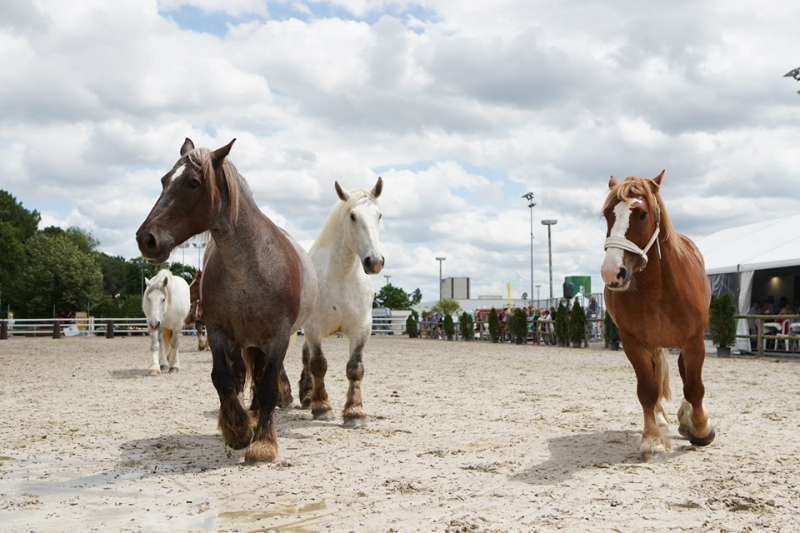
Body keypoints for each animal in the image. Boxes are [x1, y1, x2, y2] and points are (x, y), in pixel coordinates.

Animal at [134, 138, 316, 462]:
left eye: (193, 183)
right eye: (164, 180)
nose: (147, 239)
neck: (248, 267)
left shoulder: (278, 336)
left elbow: (267, 386)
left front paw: (263, 442)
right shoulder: (218, 331)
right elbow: (223, 378)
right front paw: (239, 429)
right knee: (244, 375)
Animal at [296, 177, 384, 426]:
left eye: (379, 215)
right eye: (353, 216)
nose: (374, 261)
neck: (341, 278)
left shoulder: (361, 328)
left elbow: (355, 368)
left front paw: (355, 412)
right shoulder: (314, 328)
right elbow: (319, 365)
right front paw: (323, 408)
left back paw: (306, 396)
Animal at [600, 169, 712, 458]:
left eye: (642, 214)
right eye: (607, 215)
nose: (612, 272)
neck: (659, 289)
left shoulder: (694, 341)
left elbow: (694, 387)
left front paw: (701, 428)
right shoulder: (633, 343)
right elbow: (647, 390)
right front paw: (652, 438)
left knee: (686, 376)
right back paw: (661, 420)